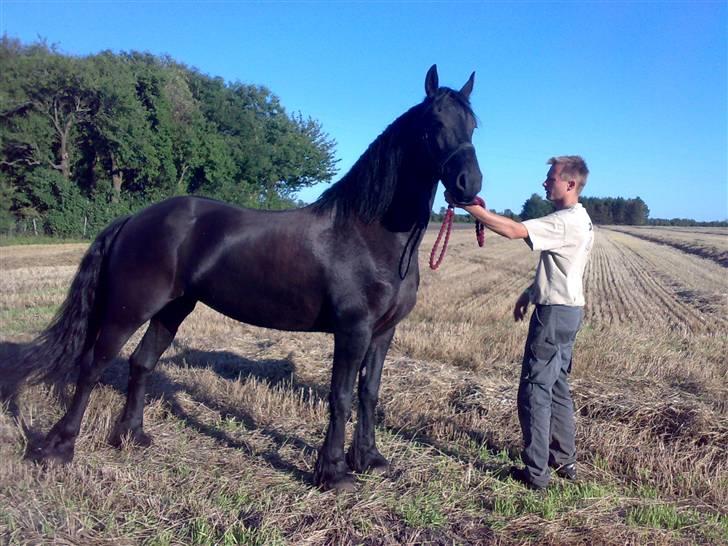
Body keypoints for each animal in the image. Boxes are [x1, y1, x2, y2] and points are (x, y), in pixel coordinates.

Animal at [9, 65, 484, 488]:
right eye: (434, 123)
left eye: (473, 125)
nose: (469, 183)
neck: (369, 233)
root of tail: (134, 219)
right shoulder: (353, 331)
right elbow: (342, 396)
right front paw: (333, 474)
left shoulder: (383, 333)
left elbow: (370, 393)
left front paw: (370, 460)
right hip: (129, 309)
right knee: (93, 366)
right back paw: (58, 449)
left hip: (172, 309)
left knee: (141, 363)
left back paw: (132, 436)